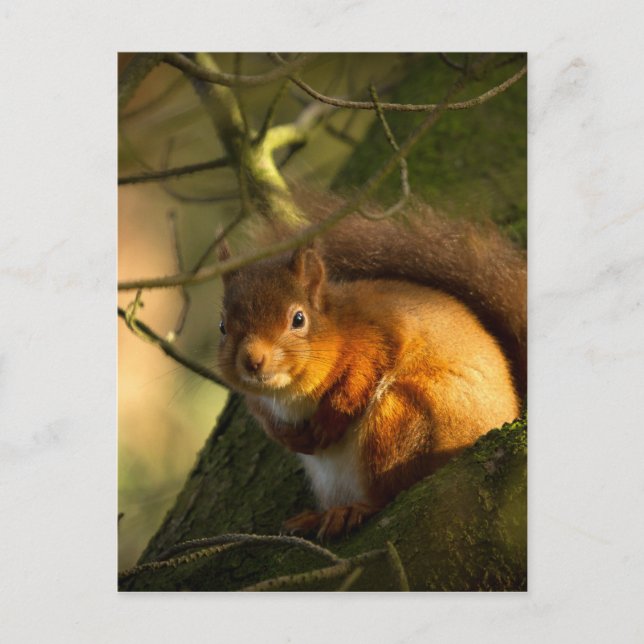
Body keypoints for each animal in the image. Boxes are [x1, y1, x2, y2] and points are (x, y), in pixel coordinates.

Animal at [217, 192, 526, 541]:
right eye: (223, 326)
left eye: (298, 319)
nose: (252, 361)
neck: (289, 392)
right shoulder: (258, 396)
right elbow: (261, 413)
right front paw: (287, 436)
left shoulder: (380, 333)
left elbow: (361, 376)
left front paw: (331, 420)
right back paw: (314, 517)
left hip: (403, 418)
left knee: (391, 491)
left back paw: (356, 509)